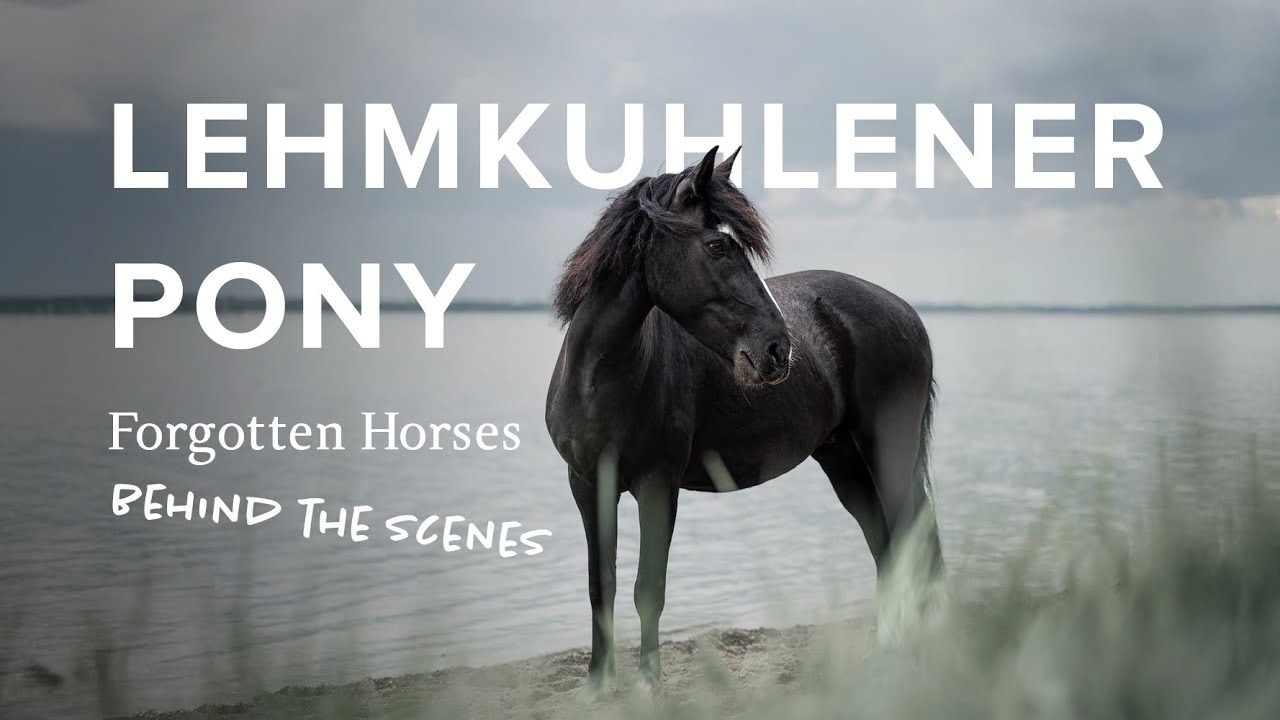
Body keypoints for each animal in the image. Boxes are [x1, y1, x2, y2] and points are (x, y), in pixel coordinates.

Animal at [545, 145, 944, 695]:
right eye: (716, 245)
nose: (779, 350)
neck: (599, 378)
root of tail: (909, 314)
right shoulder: (586, 484)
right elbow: (599, 585)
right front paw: (598, 686)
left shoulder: (657, 485)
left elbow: (649, 588)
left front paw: (648, 687)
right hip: (844, 461)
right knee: (886, 548)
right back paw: (884, 657)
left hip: (890, 454)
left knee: (912, 540)